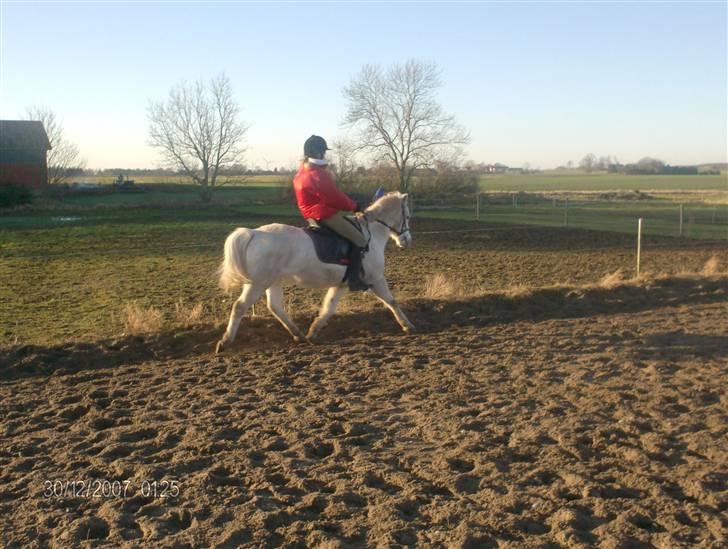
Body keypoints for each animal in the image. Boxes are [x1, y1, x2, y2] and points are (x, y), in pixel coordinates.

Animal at [215, 191, 416, 352]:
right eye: (407, 216)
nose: (406, 241)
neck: (371, 235)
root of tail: (254, 233)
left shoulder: (341, 284)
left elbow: (328, 308)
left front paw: (313, 332)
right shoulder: (376, 279)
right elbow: (392, 301)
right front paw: (408, 326)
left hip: (272, 282)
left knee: (275, 307)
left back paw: (299, 335)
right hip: (258, 283)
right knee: (240, 307)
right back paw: (225, 342)